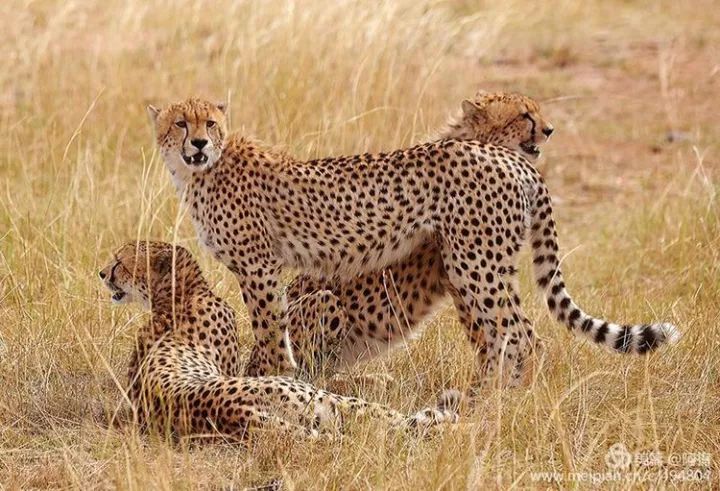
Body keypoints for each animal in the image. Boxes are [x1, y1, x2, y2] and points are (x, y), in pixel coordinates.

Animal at [98, 241, 458, 438]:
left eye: (120, 262)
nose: (102, 272)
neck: (178, 296)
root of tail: (235, 411)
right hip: (320, 393)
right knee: (388, 419)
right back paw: (445, 419)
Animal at [148, 91, 680, 384]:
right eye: (180, 123)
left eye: (209, 123)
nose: (199, 142)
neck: (202, 171)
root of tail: (515, 163)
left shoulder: (260, 267)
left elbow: (267, 329)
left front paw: (273, 378)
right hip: (476, 266)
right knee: (510, 335)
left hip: (474, 266)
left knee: (521, 335)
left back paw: (507, 405)